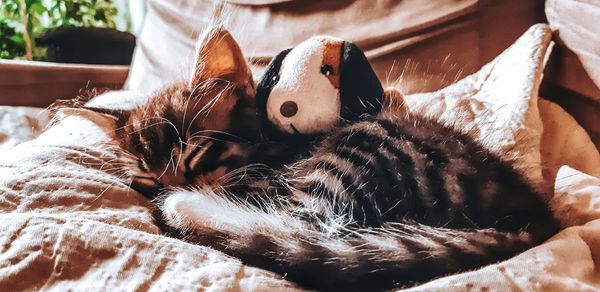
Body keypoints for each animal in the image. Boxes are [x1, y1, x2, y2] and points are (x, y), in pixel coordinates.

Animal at [54, 26, 560, 290]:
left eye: (197, 158)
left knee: (302, 228)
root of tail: (533, 217)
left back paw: (187, 211)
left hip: (361, 148)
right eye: (146, 180)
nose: (165, 191)